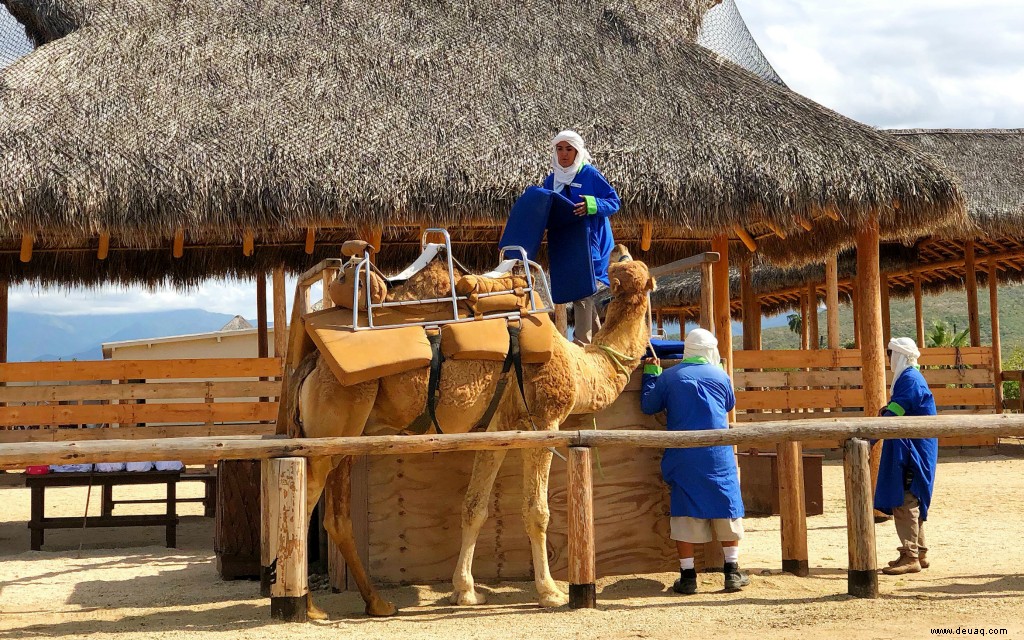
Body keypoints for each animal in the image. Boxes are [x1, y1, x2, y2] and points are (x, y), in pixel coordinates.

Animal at [294, 248, 655, 614]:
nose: (620, 251)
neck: (580, 369)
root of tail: (313, 364)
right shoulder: (545, 420)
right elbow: (537, 511)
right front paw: (550, 592)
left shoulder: (496, 432)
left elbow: (474, 508)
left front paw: (465, 591)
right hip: (333, 421)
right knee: (305, 500)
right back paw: (307, 606)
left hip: (349, 437)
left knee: (336, 516)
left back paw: (377, 603)